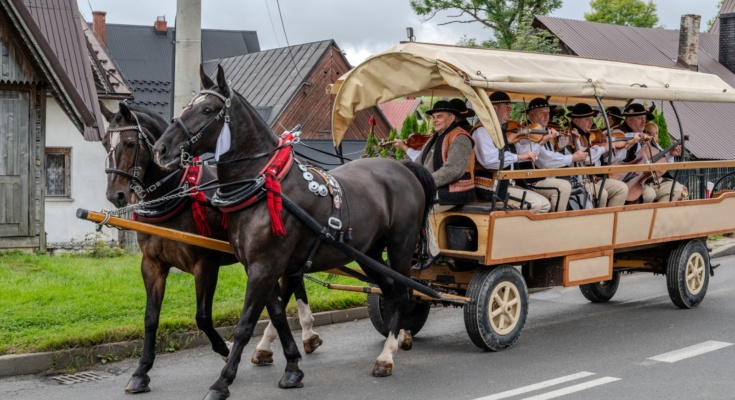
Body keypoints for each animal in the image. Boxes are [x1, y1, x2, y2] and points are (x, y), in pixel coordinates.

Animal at [100, 100, 322, 394]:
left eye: (129, 143)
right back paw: (286, 342)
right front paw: (141, 372)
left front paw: (224, 349)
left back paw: (299, 336)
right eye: (105, 142)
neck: (177, 193)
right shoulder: (152, 264)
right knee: (286, 291)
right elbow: (150, 318)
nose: (116, 195)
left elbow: (203, 316)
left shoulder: (205, 264)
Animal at [152, 65, 434, 400]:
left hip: (401, 245)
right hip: (370, 253)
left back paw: (387, 356)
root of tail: (403, 168)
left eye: (207, 110)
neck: (265, 183)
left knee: (403, 293)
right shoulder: (261, 266)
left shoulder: (266, 265)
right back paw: (398, 340)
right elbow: (275, 312)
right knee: (391, 291)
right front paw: (292, 366)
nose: (160, 149)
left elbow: (247, 323)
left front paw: (222, 382)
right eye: (186, 106)